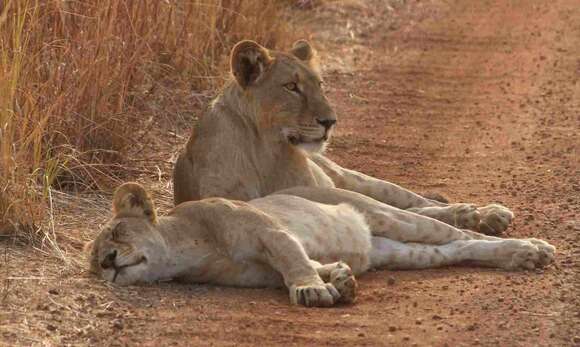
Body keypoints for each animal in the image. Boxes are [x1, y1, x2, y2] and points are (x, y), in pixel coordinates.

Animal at [85, 182, 552, 308]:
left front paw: (311, 290)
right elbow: (300, 266)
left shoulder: (270, 232)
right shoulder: (260, 273)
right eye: (92, 264)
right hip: (401, 252)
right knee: (455, 251)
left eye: (118, 234)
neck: (185, 251)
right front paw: (339, 280)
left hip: (383, 213)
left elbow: (294, 261)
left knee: (463, 235)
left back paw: (527, 249)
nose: (107, 263)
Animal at [172, 40, 512, 237]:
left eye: (320, 84)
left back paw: (484, 214)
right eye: (291, 87)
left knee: (412, 201)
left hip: (354, 180)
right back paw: (474, 217)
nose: (330, 122)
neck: (266, 149)